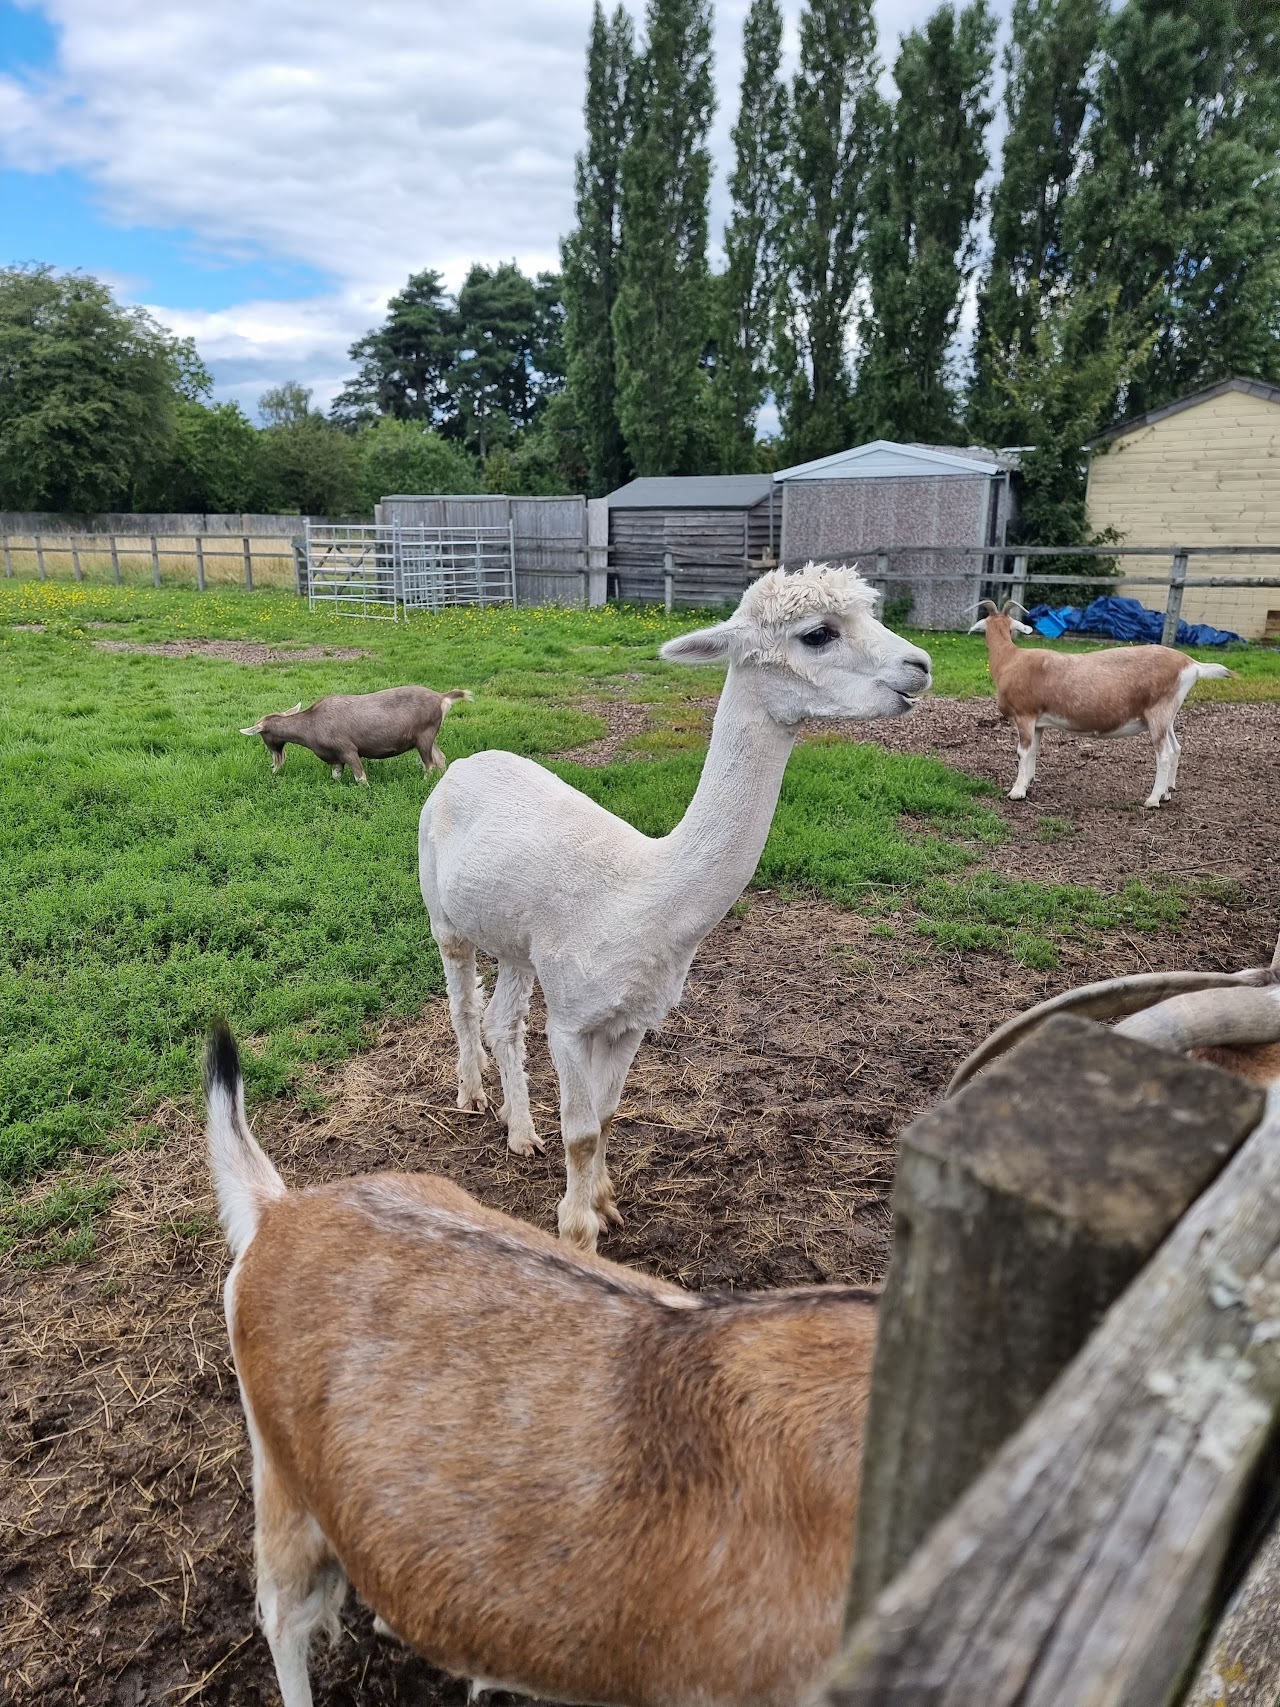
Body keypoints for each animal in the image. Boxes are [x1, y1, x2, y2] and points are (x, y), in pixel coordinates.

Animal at [240, 685, 472, 783]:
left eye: (263, 736)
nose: (274, 764)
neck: (311, 723)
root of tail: (442, 698)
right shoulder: (336, 758)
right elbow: (336, 776)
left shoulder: (348, 749)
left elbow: (360, 777)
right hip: (428, 736)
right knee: (440, 759)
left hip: (424, 735)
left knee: (429, 764)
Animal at [420, 563, 932, 1250]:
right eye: (818, 633)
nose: (921, 664)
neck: (646, 899)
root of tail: (463, 763)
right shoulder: (573, 1018)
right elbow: (581, 1133)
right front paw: (577, 1232)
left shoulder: (633, 1016)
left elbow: (608, 1116)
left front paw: (604, 1204)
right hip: (442, 910)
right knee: (463, 1004)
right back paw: (472, 1098)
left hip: (521, 945)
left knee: (505, 1019)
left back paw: (520, 1131)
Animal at [968, 599, 1232, 809]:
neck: (1010, 659)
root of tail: (1192, 664)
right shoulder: (1038, 722)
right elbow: (1033, 751)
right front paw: (1028, 783)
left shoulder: (1024, 715)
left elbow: (1022, 752)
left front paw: (1017, 791)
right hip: (1168, 716)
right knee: (1176, 748)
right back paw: (1167, 793)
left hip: (1158, 714)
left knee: (1164, 754)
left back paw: (1152, 800)